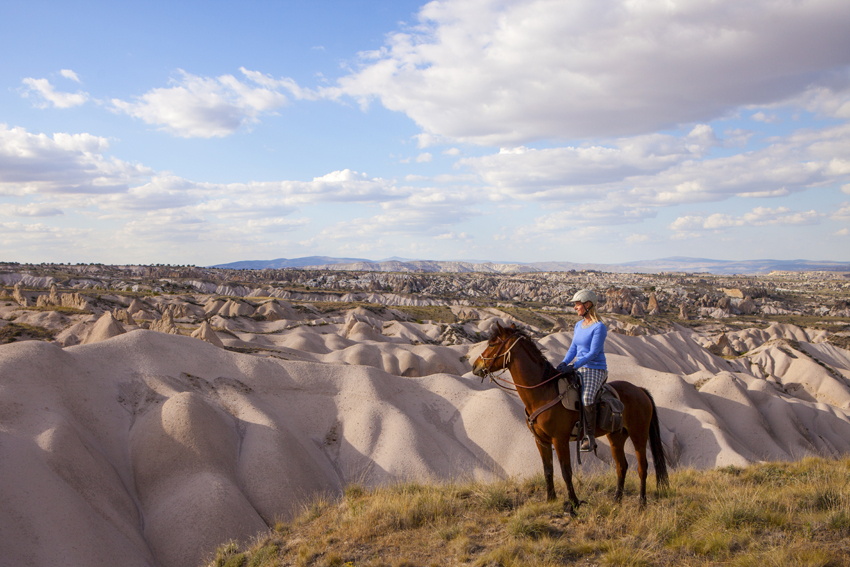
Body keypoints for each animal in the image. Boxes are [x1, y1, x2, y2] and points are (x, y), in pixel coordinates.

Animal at [468, 322, 664, 512]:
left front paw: (574, 503)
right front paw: (551, 499)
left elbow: (566, 471)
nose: (475, 366)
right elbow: (548, 470)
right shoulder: (541, 441)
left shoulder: (559, 439)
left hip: (639, 435)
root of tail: (640, 390)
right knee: (622, 466)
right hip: (616, 436)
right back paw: (616, 501)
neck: (543, 392)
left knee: (642, 467)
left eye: (492, 344)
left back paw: (641, 503)